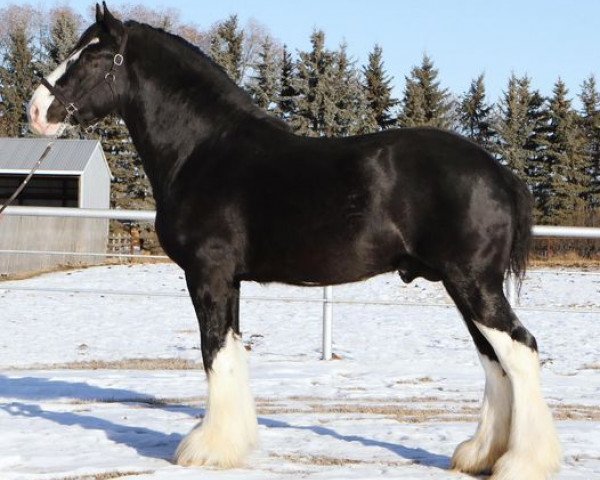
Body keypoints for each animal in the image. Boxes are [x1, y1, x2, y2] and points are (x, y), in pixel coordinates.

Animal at [28, 4, 560, 480]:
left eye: (92, 57)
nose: (36, 111)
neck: (203, 150)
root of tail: (498, 173)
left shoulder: (207, 273)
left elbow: (213, 351)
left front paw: (206, 450)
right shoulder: (230, 279)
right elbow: (231, 350)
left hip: (472, 283)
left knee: (519, 350)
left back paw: (521, 463)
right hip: (462, 285)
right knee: (494, 360)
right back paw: (480, 455)